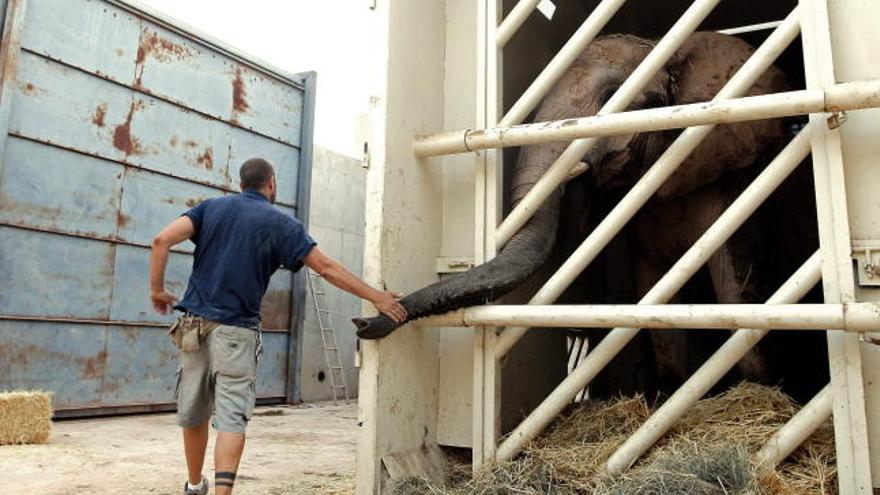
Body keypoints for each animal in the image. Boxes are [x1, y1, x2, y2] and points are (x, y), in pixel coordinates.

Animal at [354, 31, 820, 396]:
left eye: (614, 98)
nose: (362, 325)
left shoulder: (732, 173)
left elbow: (734, 285)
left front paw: (761, 393)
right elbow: (652, 287)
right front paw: (667, 395)